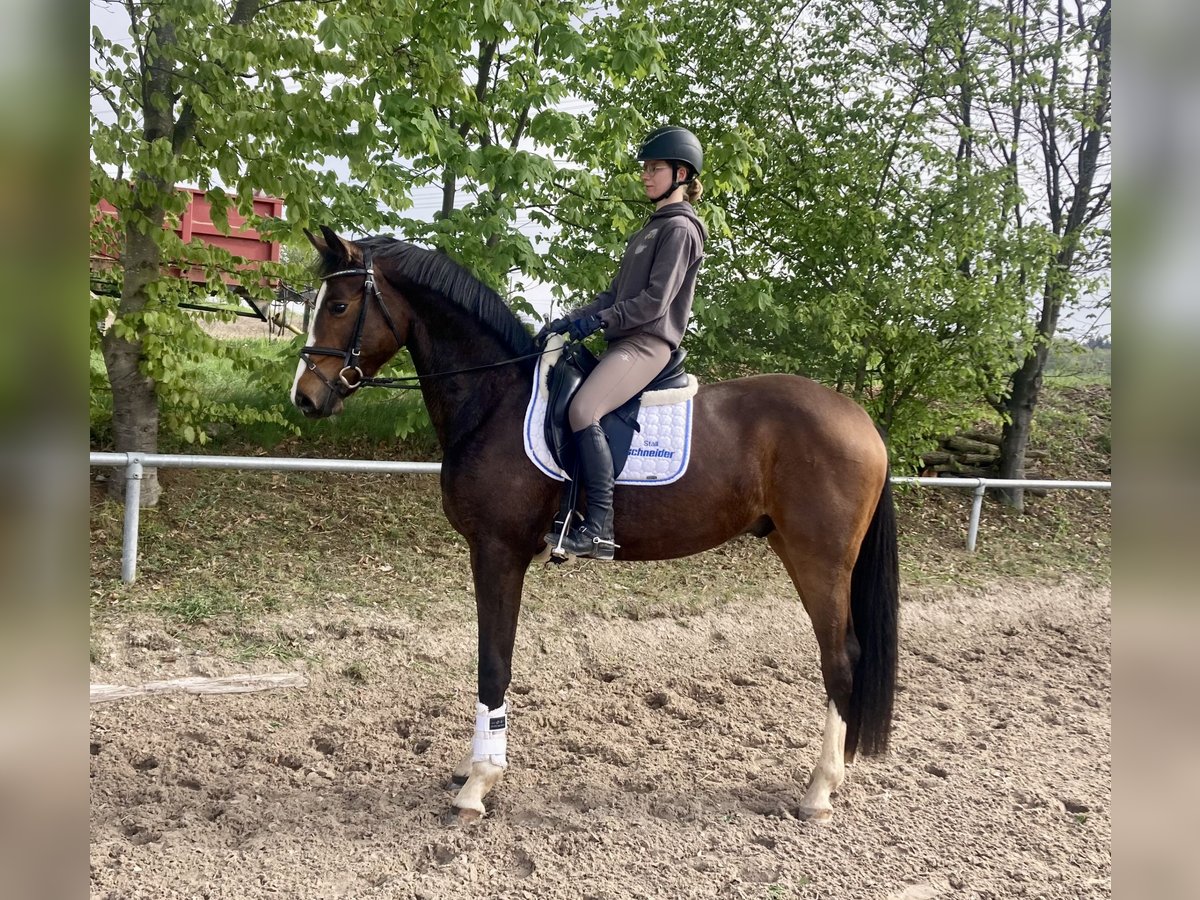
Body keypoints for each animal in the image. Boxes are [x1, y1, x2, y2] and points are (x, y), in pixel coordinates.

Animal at [288, 225, 892, 825]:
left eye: (338, 305)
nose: (305, 397)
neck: (495, 399)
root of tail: (860, 417)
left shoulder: (497, 550)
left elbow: (493, 662)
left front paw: (479, 783)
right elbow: (492, 657)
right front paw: (472, 765)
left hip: (819, 558)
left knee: (841, 659)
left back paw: (818, 791)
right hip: (794, 547)